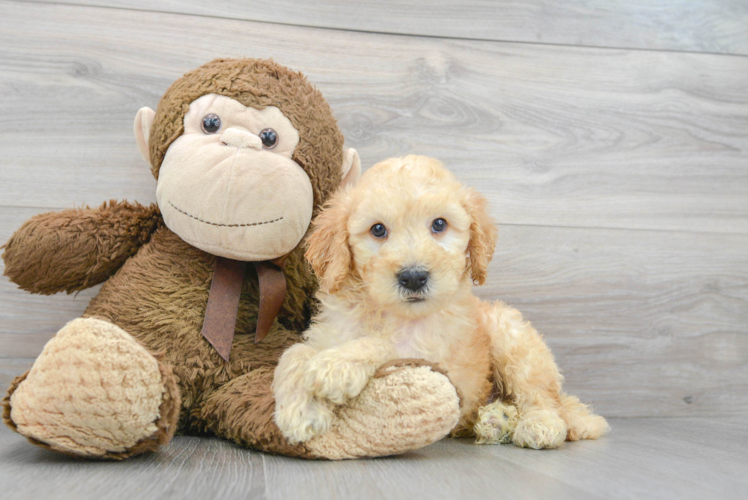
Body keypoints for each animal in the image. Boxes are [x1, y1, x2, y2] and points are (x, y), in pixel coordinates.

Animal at [272, 155, 612, 450]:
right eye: (378, 229)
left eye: (439, 224)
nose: (413, 277)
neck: (385, 313)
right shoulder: (328, 333)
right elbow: (294, 354)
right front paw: (298, 410)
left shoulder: (432, 354)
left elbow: (385, 346)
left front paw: (336, 366)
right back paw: (497, 420)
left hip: (513, 336)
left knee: (542, 395)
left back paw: (539, 424)